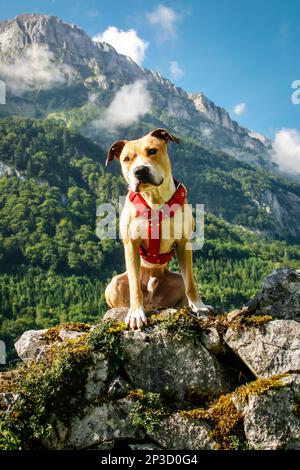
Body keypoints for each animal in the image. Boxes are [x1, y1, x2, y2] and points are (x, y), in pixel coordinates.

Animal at [104, 126, 212, 328]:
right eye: (127, 158)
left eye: (152, 151)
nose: (140, 171)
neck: (154, 201)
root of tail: (152, 303)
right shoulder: (131, 244)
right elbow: (134, 286)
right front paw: (135, 313)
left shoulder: (184, 243)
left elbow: (191, 283)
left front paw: (199, 306)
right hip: (113, 284)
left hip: (176, 282)